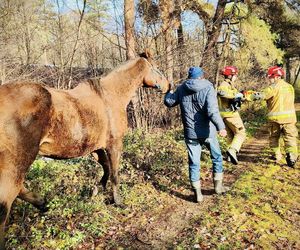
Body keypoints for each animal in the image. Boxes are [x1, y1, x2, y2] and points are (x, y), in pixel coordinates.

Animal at [0, 51, 169, 248]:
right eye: (156, 68)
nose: (168, 86)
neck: (109, 96)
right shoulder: (114, 145)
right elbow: (114, 174)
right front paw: (118, 201)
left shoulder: (96, 148)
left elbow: (106, 168)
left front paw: (95, 190)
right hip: (18, 161)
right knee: (6, 201)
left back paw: (43, 203)